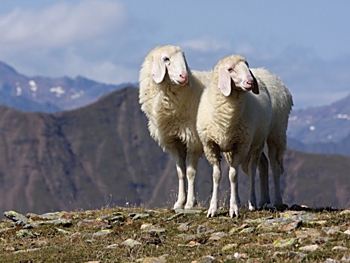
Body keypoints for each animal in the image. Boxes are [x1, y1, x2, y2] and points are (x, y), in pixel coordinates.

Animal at [139, 44, 211, 210]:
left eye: (184, 58)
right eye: (166, 59)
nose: (184, 77)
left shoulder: (193, 140)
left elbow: (190, 172)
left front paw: (190, 203)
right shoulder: (173, 141)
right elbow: (180, 172)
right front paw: (179, 202)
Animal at [197, 54, 274, 219]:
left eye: (247, 66)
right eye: (230, 69)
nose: (250, 82)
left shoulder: (241, 145)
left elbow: (232, 175)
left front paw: (233, 209)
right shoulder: (211, 146)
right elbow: (217, 175)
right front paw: (212, 209)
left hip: (256, 144)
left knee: (251, 169)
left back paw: (252, 202)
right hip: (229, 149)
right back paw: (238, 198)